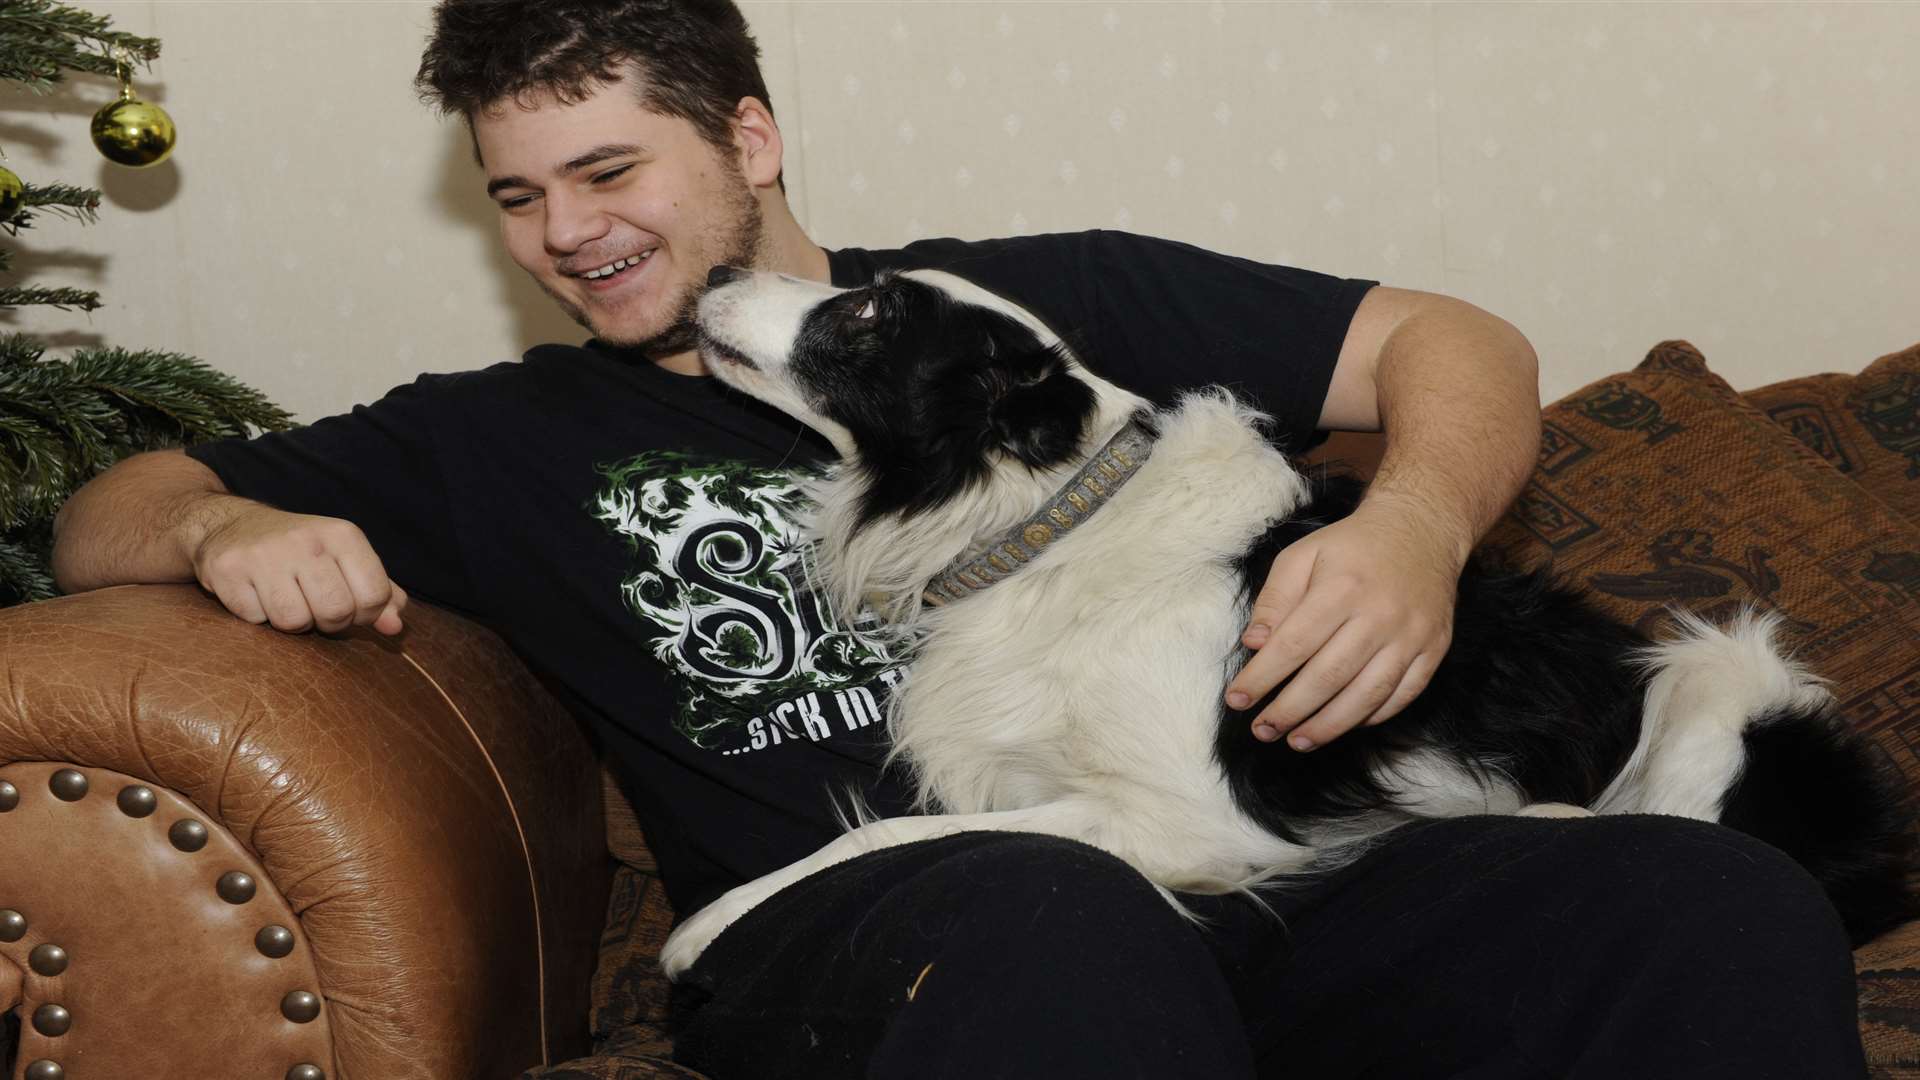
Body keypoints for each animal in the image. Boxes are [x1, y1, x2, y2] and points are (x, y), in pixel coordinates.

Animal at [656, 263, 1904, 976]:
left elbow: (893, 839)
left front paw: (711, 927)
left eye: (868, 310)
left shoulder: (1193, 821)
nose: (716, 266)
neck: (1057, 525)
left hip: (1715, 688)